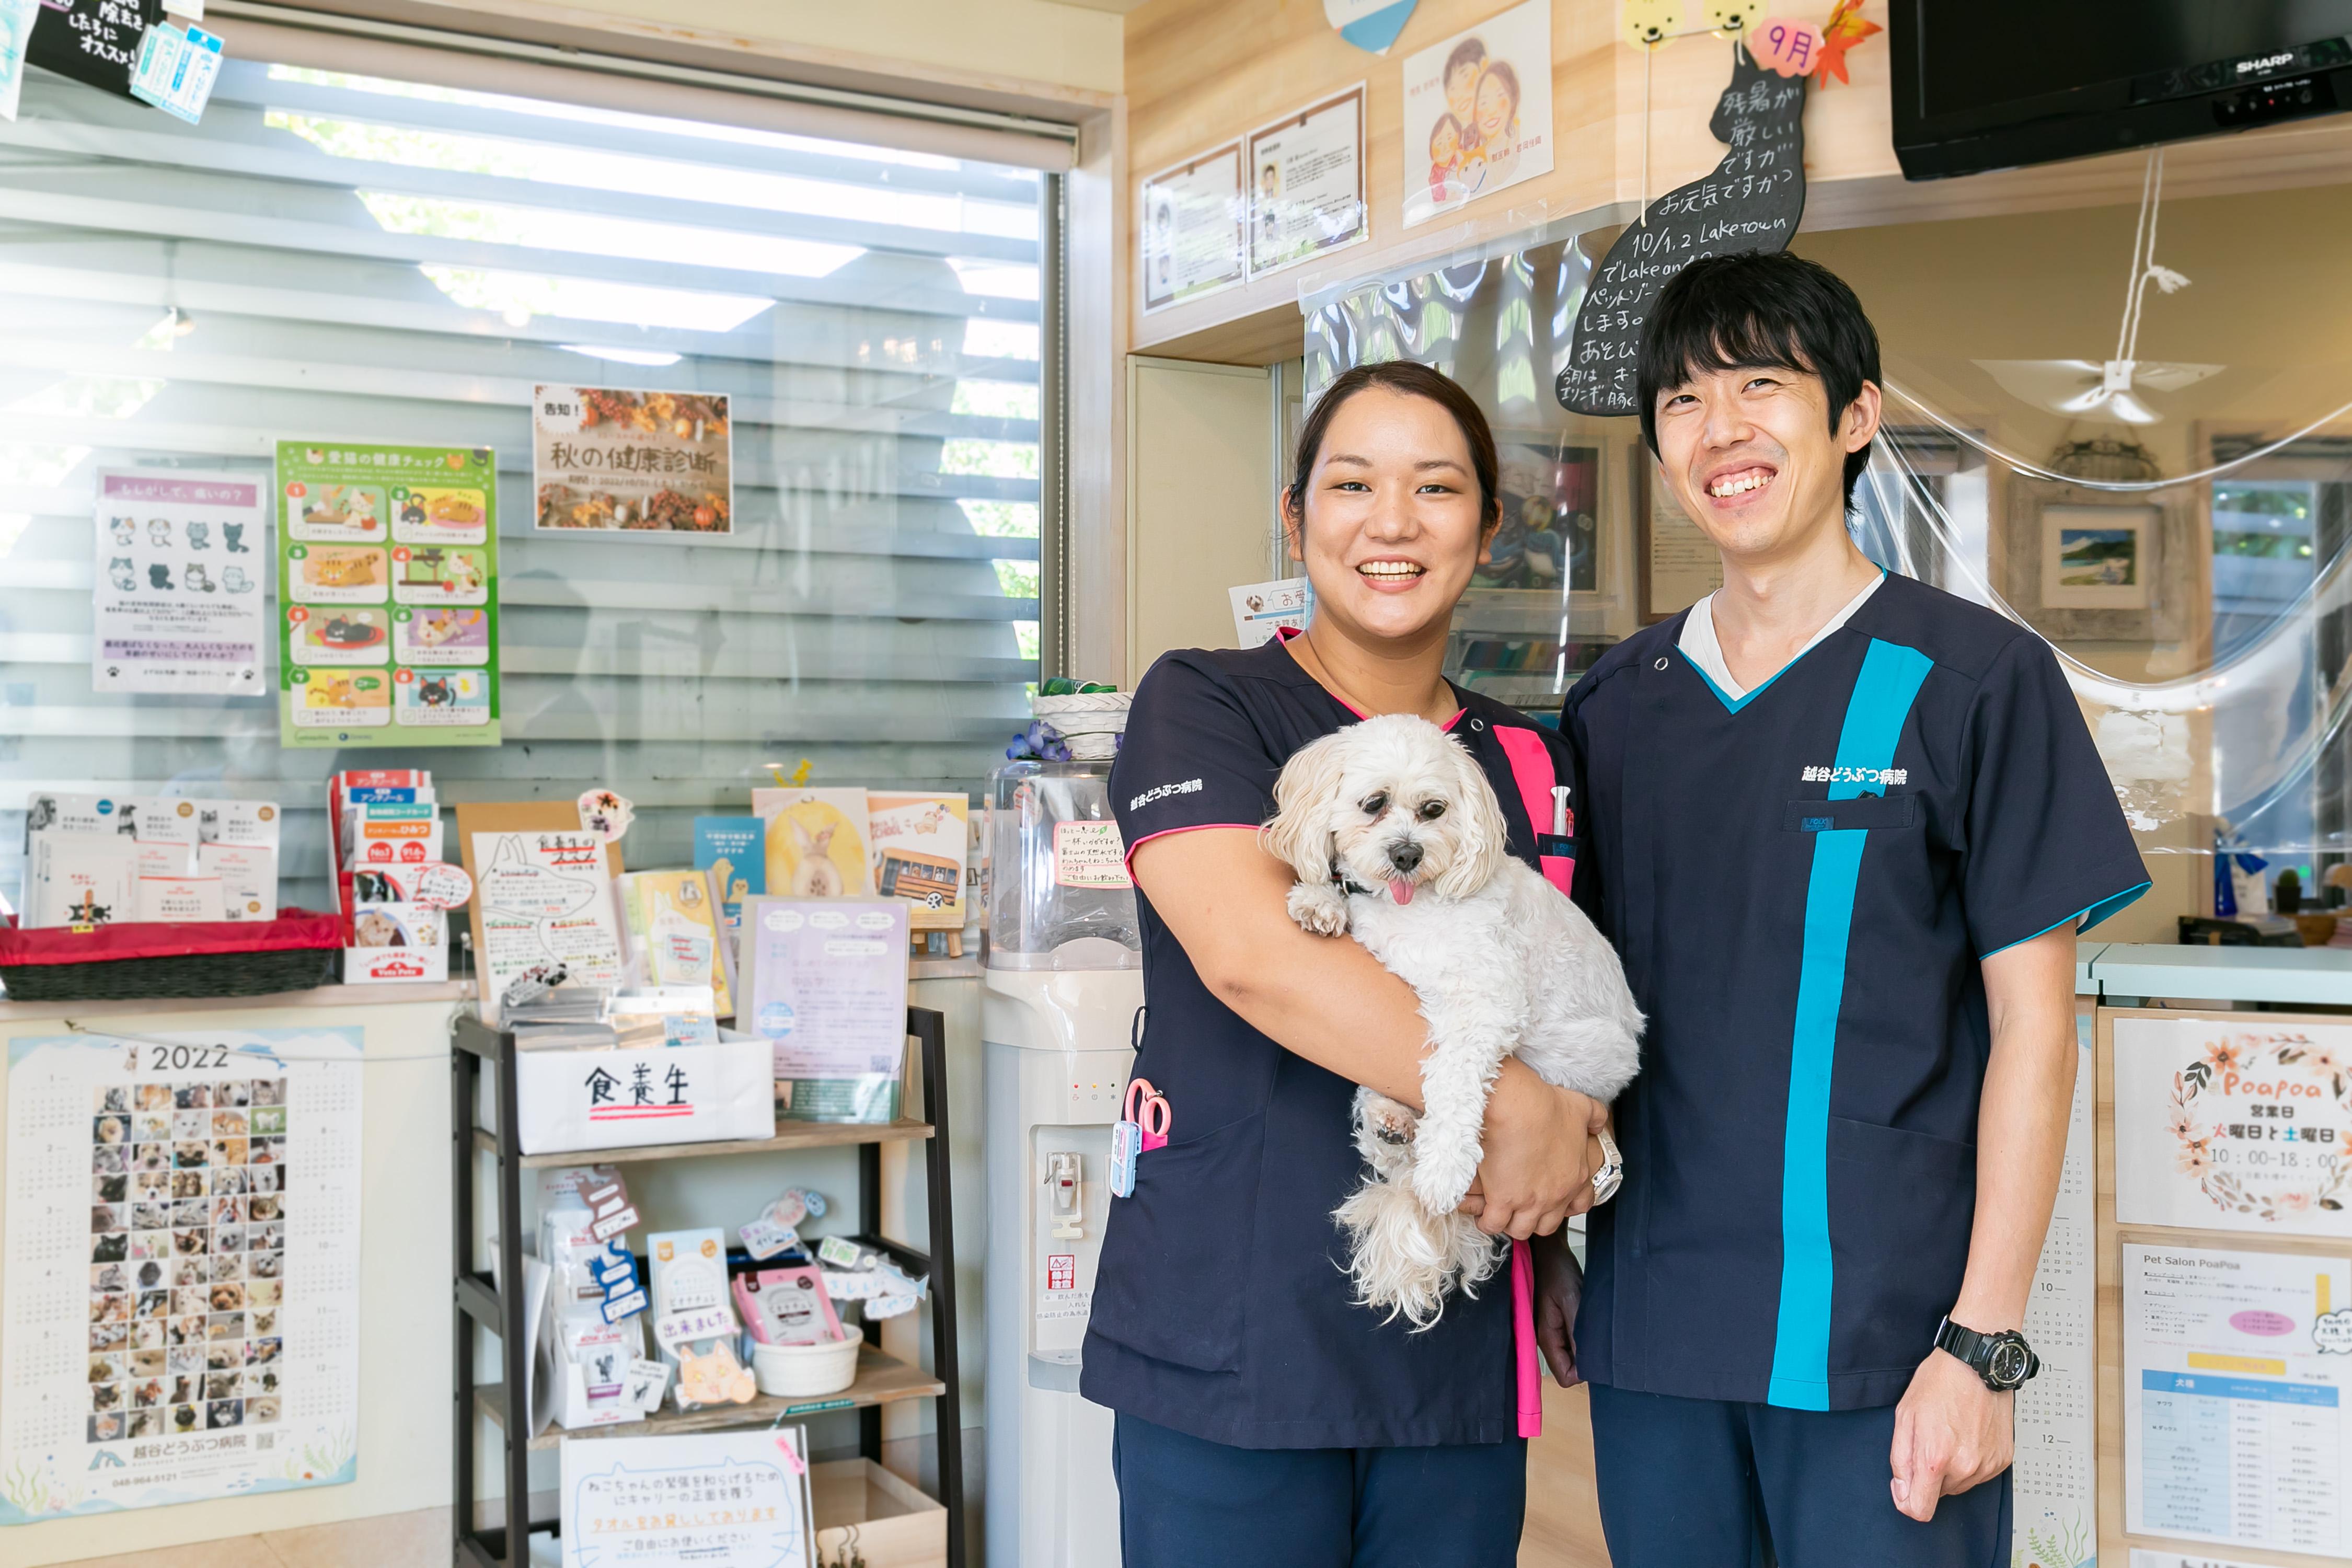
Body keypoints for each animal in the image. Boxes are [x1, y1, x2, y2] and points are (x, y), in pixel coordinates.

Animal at [1270, 719, 1637, 1335]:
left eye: (1434, 809)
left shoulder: (1484, 999)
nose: (1407, 853)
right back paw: (1390, 1120)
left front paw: (1444, 1167)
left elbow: (1453, 1079)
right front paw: (1320, 902)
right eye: (1374, 803)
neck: (1411, 904)